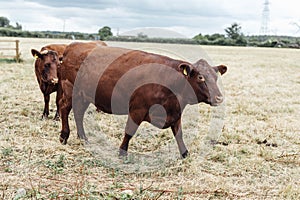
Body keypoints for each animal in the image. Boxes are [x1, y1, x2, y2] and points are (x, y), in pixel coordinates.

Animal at [58, 43, 227, 158]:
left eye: (216, 77)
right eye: (200, 77)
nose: (219, 98)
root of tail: (73, 46)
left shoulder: (175, 112)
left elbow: (179, 134)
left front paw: (185, 154)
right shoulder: (137, 110)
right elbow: (129, 132)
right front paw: (122, 153)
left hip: (84, 96)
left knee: (78, 114)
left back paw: (83, 138)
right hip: (71, 92)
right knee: (65, 109)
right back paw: (64, 136)